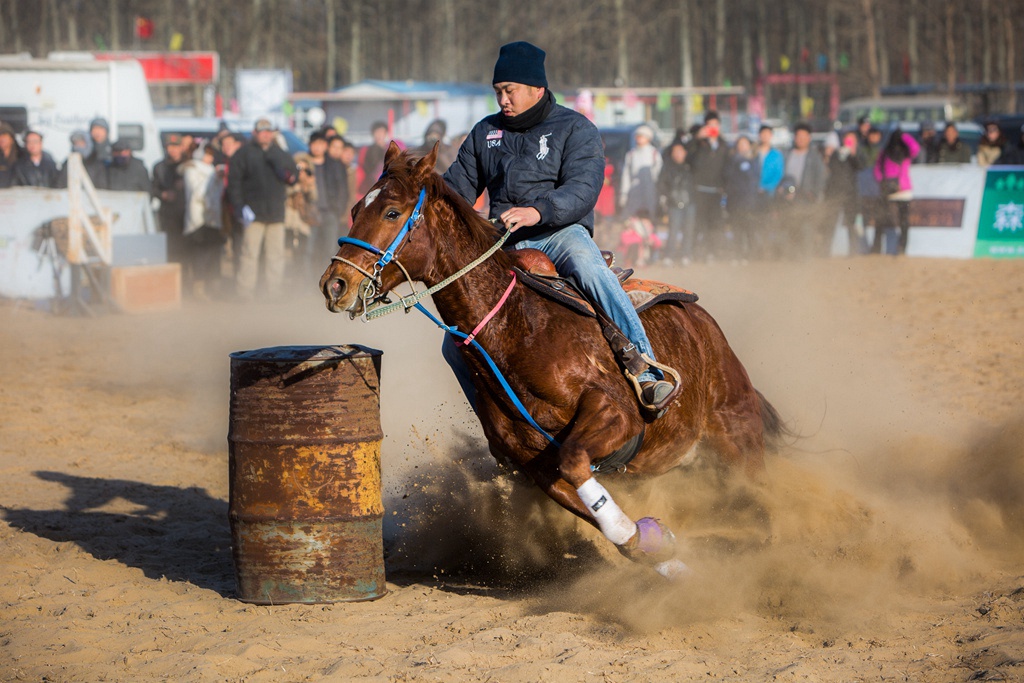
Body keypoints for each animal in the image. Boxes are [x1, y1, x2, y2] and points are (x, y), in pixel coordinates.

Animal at [319, 143, 782, 577]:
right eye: (356, 209)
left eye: (392, 211)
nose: (334, 284)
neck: (518, 325)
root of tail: (705, 327)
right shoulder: (534, 464)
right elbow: (590, 506)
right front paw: (656, 546)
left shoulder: (616, 413)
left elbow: (576, 461)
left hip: (738, 440)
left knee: (760, 505)